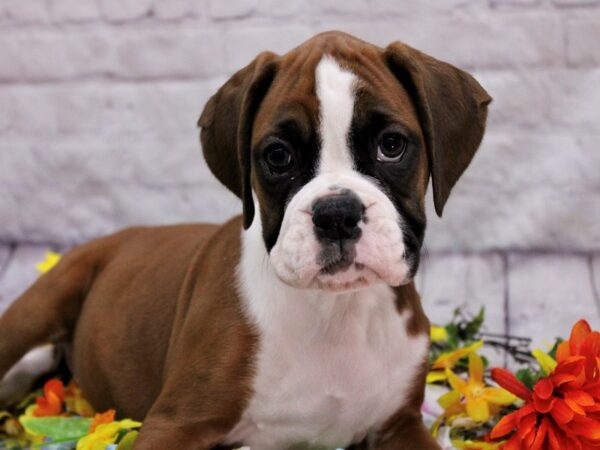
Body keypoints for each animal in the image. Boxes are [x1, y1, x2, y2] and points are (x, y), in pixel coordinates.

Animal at [0, 32, 490, 450]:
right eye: (278, 156)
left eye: (391, 145)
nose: (336, 214)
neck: (335, 312)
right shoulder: (174, 424)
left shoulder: (400, 425)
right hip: (40, 305)